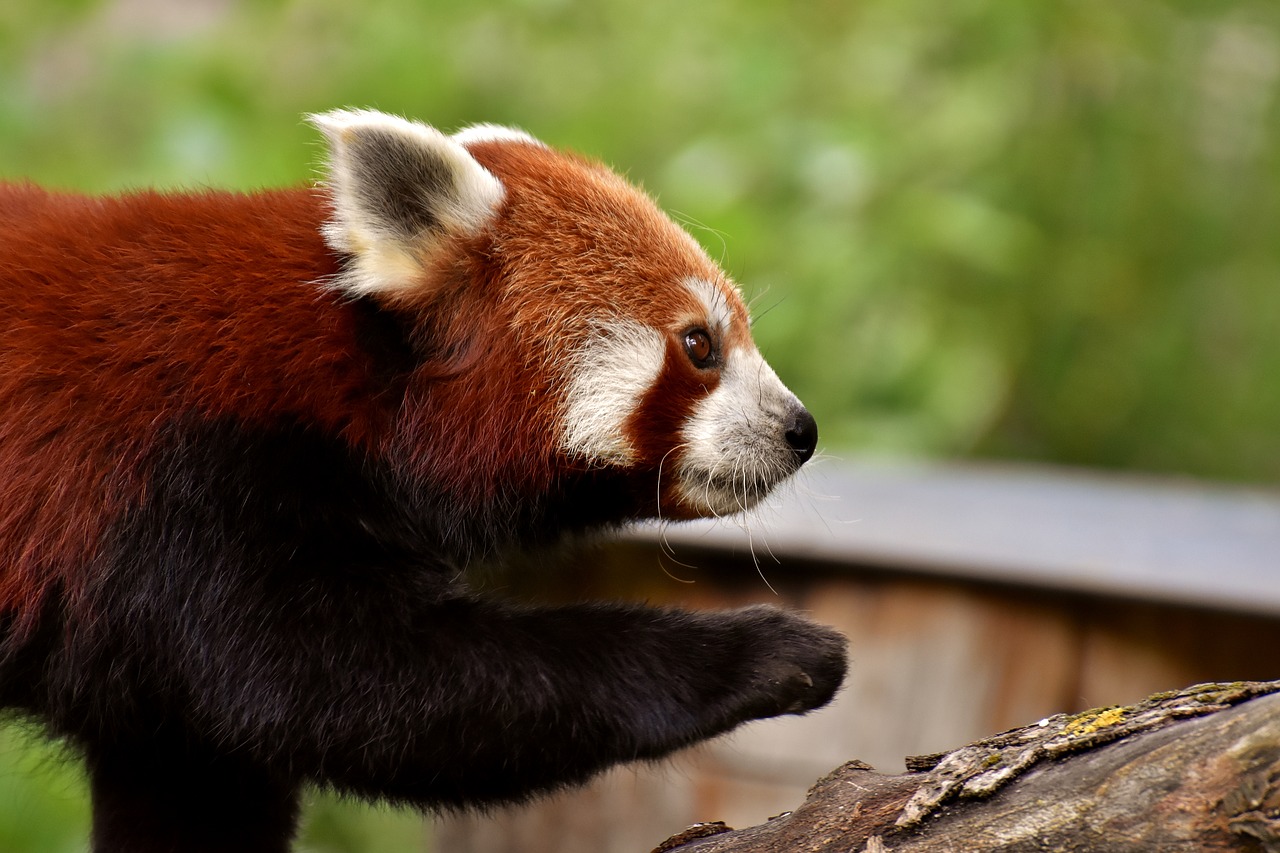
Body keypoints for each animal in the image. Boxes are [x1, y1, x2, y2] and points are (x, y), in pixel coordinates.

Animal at [0, 111, 844, 850]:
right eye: (700, 346)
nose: (800, 429)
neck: (344, 379)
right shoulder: (189, 492)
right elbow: (362, 689)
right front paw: (765, 651)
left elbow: (201, 769)